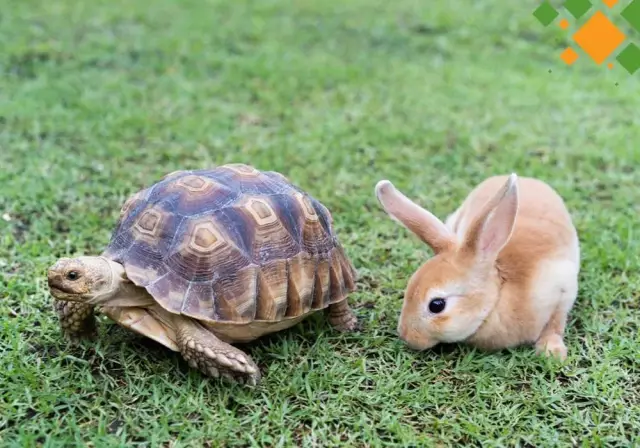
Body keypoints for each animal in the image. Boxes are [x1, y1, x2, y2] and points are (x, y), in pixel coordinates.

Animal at [376, 172, 580, 360]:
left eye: (437, 305)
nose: (408, 337)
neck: (498, 295)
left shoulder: (563, 289)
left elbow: (555, 322)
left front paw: (552, 353)